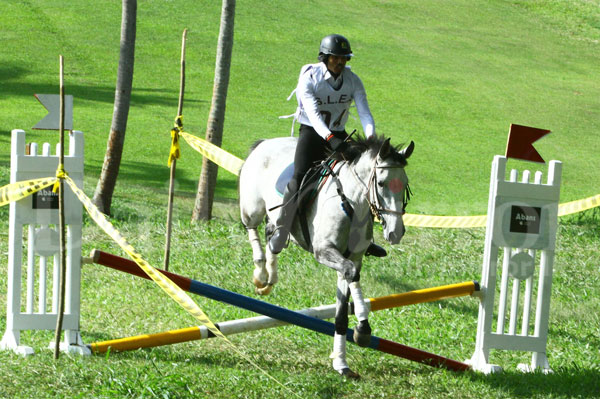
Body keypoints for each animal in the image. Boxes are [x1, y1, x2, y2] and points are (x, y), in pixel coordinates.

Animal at [238, 135, 412, 378]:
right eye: (381, 183)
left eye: (404, 185)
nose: (396, 232)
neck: (352, 204)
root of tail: (265, 142)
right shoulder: (324, 251)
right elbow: (350, 273)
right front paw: (362, 330)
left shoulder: (353, 258)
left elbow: (342, 311)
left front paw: (342, 362)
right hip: (252, 208)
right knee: (253, 228)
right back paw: (260, 274)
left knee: (273, 236)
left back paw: (270, 277)